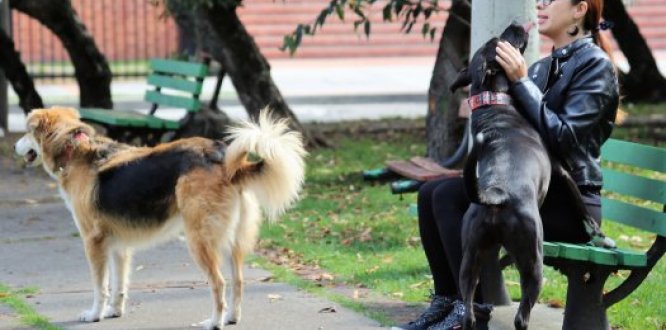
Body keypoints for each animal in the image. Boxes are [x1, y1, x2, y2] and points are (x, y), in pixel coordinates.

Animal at [14, 107, 306, 328]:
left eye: (27, 131)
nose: (16, 145)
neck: (76, 150)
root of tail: (223, 157)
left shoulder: (93, 241)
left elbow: (100, 286)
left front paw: (95, 314)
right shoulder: (118, 245)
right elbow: (118, 284)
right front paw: (113, 312)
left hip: (199, 240)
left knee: (219, 283)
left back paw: (214, 322)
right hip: (232, 242)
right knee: (238, 281)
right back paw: (231, 319)